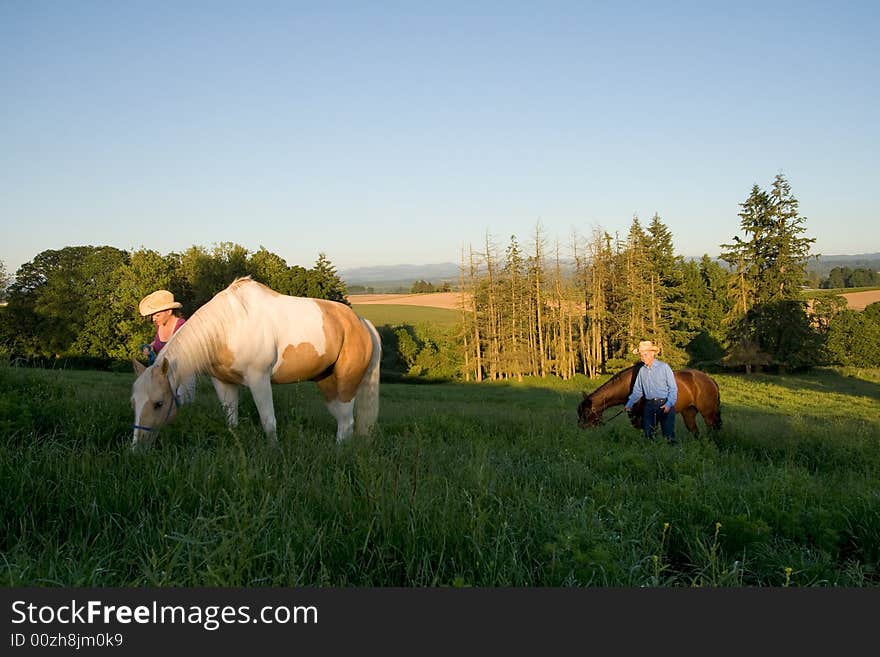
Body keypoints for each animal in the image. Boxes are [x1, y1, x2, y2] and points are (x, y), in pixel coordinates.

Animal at [131, 274, 382, 448]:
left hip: (347, 383)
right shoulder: (223, 383)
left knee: (347, 422)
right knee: (341, 419)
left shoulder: (259, 379)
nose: (136, 448)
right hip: (327, 382)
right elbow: (231, 421)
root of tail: (362, 322)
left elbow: (268, 422)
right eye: (133, 402)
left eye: (159, 403)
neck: (228, 326)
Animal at [576, 364, 720, 436]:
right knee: (695, 432)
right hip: (689, 413)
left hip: (708, 414)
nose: (580, 428)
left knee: (712, 430)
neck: (629, 385)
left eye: (586, 412)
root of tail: (710, 379)